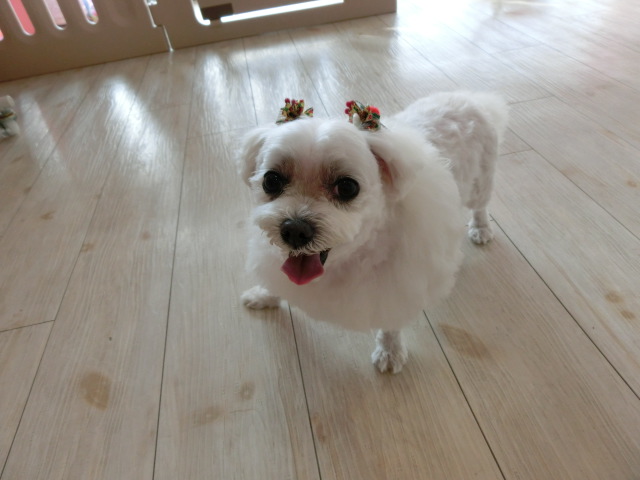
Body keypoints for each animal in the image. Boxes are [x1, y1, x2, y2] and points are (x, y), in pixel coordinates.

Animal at [237, 92, 508, 373]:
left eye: (347, 187)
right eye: (271, 180)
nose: (295, 230)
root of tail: (472, 99)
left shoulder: (395, 286)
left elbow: (390, 322)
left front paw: (390, 351)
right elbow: (277, 280)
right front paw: (263, 295)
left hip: (480, 184)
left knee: (481, 206)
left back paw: (481, 228)